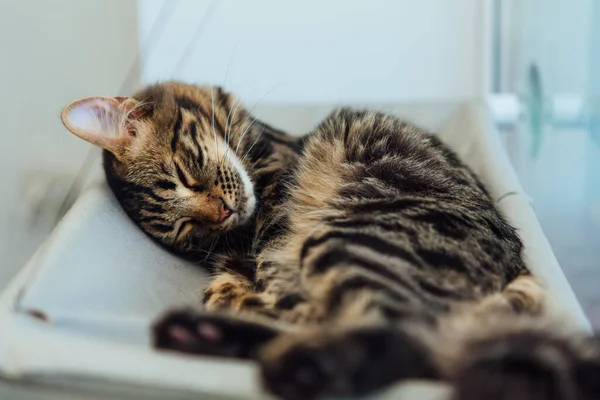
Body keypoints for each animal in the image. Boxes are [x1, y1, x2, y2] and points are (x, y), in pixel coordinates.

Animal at [62, 82, 600, 400]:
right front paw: (237, 283)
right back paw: (204, 331)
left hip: (349, 241)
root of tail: (517, 271)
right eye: (186, 229)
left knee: (402, 339)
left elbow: (268, 260)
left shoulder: (274, 210)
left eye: (184, 176)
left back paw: (284, 362)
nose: (224, 213)